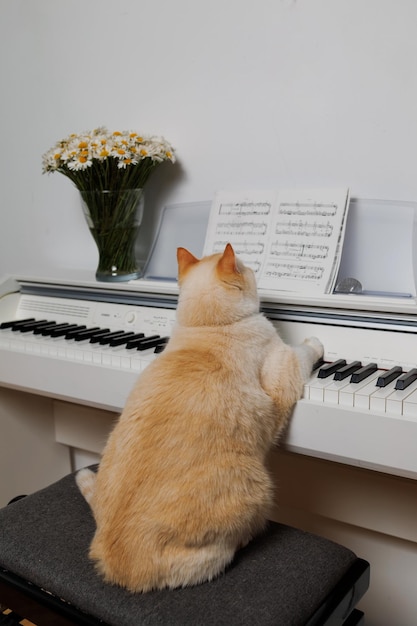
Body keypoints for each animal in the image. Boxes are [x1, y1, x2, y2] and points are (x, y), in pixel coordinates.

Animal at [76, 243, 324, 588]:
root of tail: (115, 565)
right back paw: (244, 539)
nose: (254, 272)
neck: (207, 327)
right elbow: (306, 351)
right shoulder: (285, 369)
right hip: (258, 488)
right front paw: (315, 341)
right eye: (249, 269)